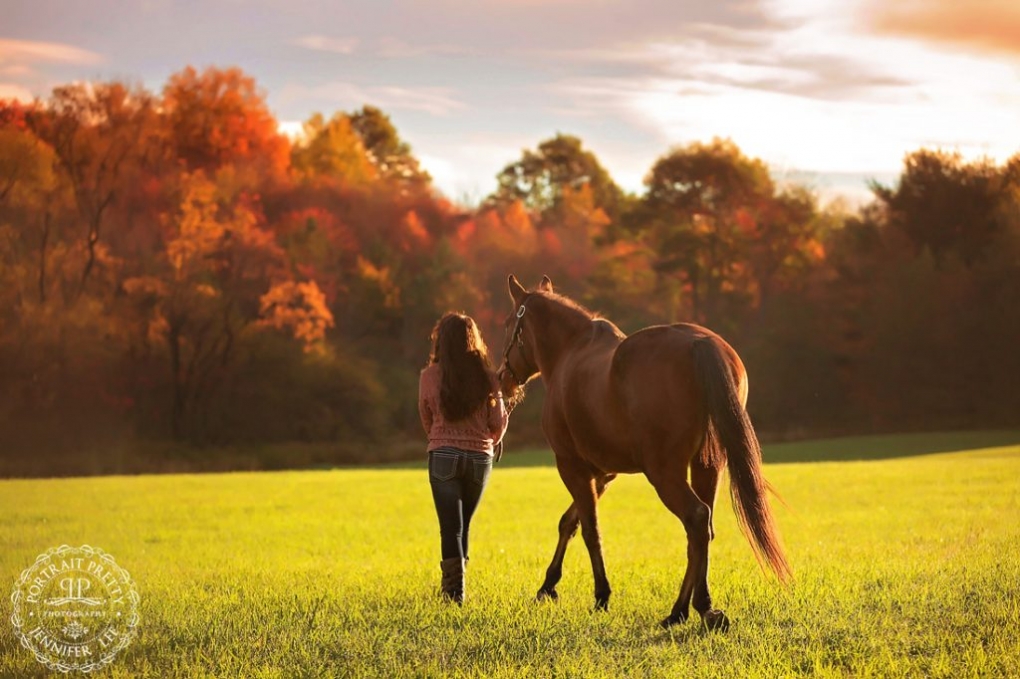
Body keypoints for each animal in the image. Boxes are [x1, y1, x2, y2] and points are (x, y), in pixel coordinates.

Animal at [493, 273, 787, 628]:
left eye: (509, 324)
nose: (502, 379)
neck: (569, 354)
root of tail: (700, 343)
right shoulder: (603, 473)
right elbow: (570, 522)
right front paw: (548, 586)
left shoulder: (571, 466)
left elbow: (590, 529)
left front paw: (601, 594)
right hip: (707, 466)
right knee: (702, 529)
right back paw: (685, 610)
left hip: (664, 473)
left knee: (696, 518)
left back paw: (695, 608)